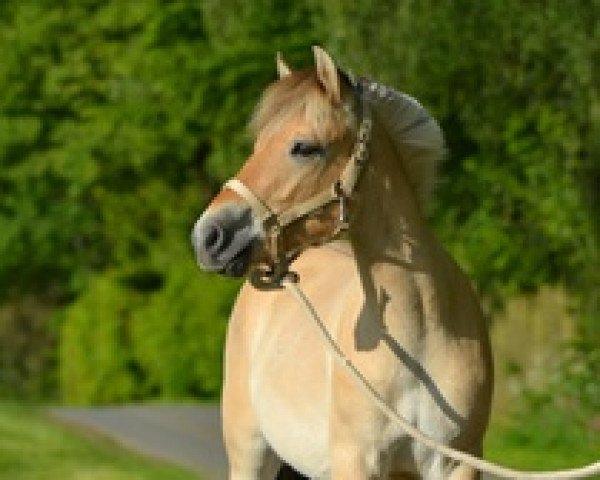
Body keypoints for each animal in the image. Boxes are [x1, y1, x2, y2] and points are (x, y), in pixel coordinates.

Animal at [191, 46, 492, 480]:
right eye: (258, 144)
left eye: (304, 147)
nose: (208, 236)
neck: (421, 332)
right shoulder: (357, 460)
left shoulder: (457, 463)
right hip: (250, 454)